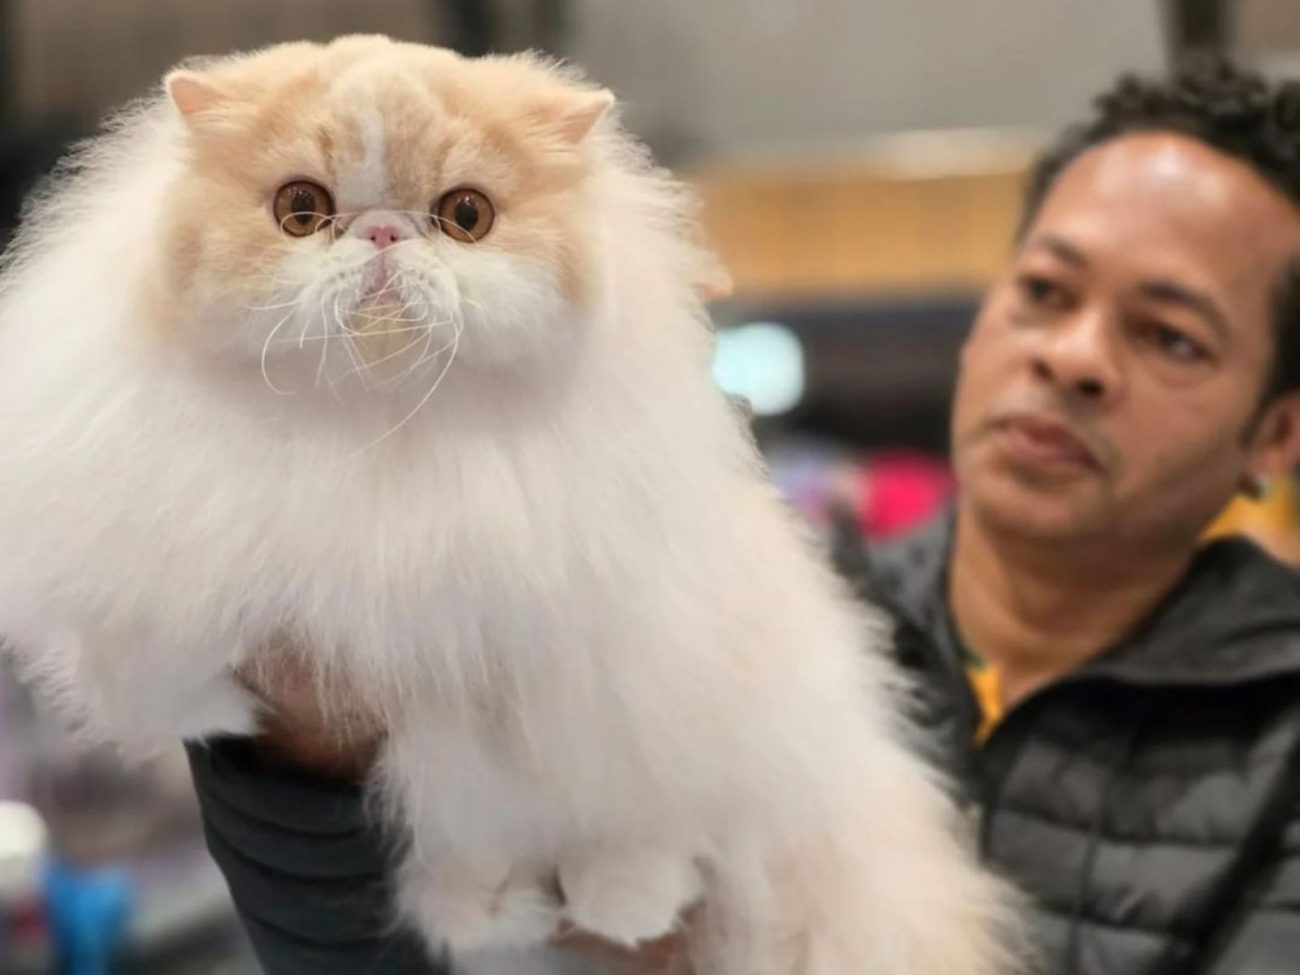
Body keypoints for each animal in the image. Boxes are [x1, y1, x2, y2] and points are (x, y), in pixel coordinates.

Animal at [0, 34, 1019, 972]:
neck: (378, 439)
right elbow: (157, 666)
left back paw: (615, 907)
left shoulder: (612, 657)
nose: (381, 233)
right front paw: (221, 712)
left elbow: (624, 794)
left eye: (465, 216)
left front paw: (621, 897)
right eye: (301, 211)